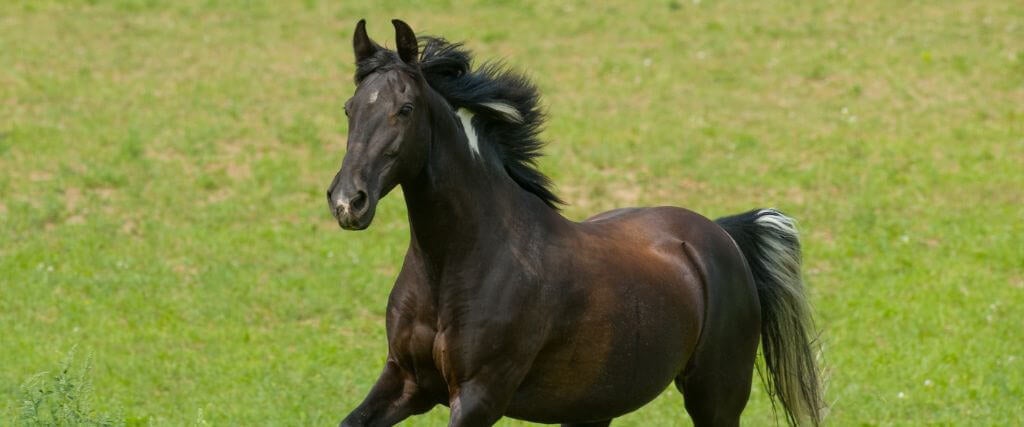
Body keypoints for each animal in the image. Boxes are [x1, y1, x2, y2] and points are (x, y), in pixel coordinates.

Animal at [326, 19, 825, 427]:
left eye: (405, 109)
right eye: (350, 108)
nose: (348, 202)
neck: (455, 262)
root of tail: (722, 236)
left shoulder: (479, 396)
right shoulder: (405, 381)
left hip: (716, 396)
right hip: (596, 405)